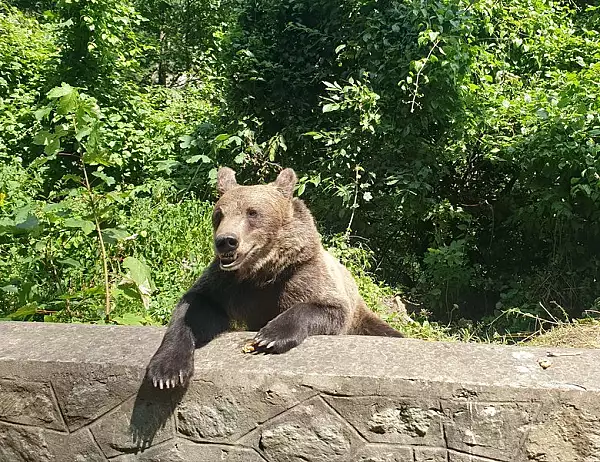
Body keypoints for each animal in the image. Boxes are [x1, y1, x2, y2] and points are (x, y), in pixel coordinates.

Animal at [146, 166, 404, 386]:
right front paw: (167, 371)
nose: (226, 241)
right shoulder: (227, 285)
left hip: (363, 318)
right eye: (219, 214)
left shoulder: (302, 275)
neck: (262, 270)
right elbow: (194, 307)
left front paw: (269, 336)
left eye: (252, 212)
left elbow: (325, 308)